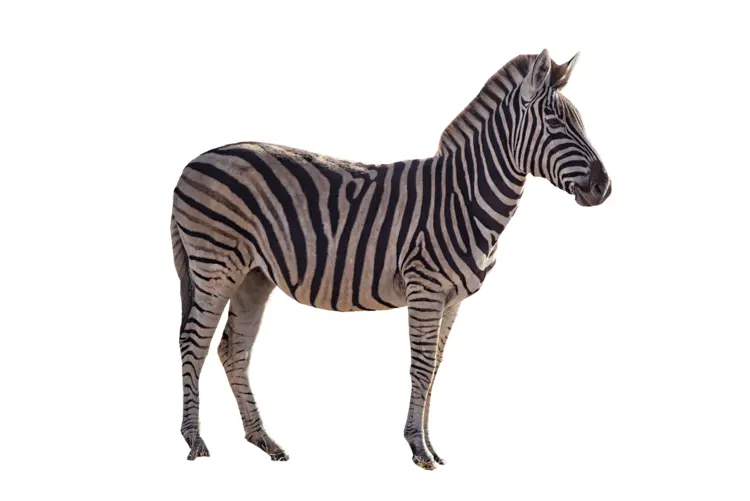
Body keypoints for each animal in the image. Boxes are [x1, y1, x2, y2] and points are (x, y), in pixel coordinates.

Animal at [171, 49, 612, 470]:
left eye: (580, 123)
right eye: (555, 124)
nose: (604, 187)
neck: (464, 197)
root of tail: (192, 163)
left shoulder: (452, 300)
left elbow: (435, 369)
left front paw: (432, 446)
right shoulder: (426, 288)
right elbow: (421, 367)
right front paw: (418, 449)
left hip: (252, 276)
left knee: (233, 349)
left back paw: (265, 441)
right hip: (215, 265)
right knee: (194, 341)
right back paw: (195, 441)